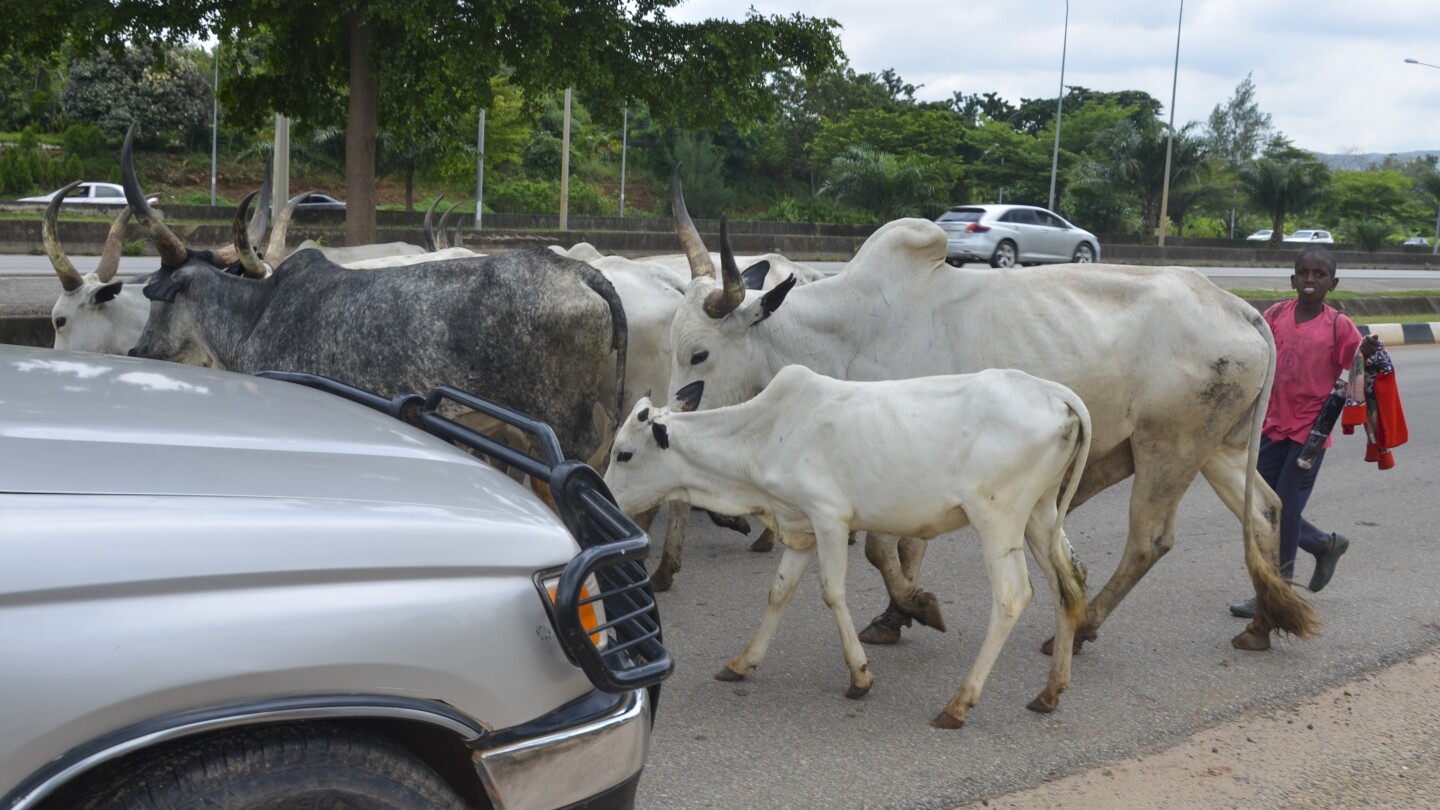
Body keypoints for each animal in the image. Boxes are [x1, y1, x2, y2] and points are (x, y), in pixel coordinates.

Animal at [599, 366, 1088, 726]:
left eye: (624, 454)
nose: (607, 501)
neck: (764, 435)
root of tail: (1052, 392)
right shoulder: (800, 527)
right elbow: (778, 592)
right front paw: (742, 662)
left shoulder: (829, 518)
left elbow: (832, 592)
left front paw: (859, 676)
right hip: (1040, 515)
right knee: (1068, 586)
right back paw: (1050, 691)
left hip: (997, 521)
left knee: (1012, 597)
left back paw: (959, 703)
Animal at [662, 184, 1319, 648]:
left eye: (699, 354)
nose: (666, 426)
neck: (844, 331)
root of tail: (1238, 306)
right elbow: (896, 550)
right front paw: (896, 615)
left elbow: (885, 550)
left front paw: (913, 607)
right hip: (1219, 446)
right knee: (1265, 512)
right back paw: (1262, 625)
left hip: (1169, 447)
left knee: (1150, 539)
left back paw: (1081, 628)